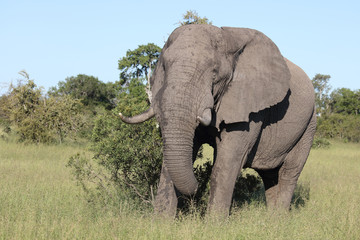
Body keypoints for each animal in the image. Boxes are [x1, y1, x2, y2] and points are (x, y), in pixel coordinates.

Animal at [119, 24, 316, 218]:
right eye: (165, 68)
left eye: (214, 75)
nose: (196, 189)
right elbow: (175, 155)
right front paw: (161, 222)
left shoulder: (250, 107)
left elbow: (227, 161)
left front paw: (214, 223)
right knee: (270, 175)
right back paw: (271, 217)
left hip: (309, 125)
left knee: (289, 172)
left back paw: (279, 219)